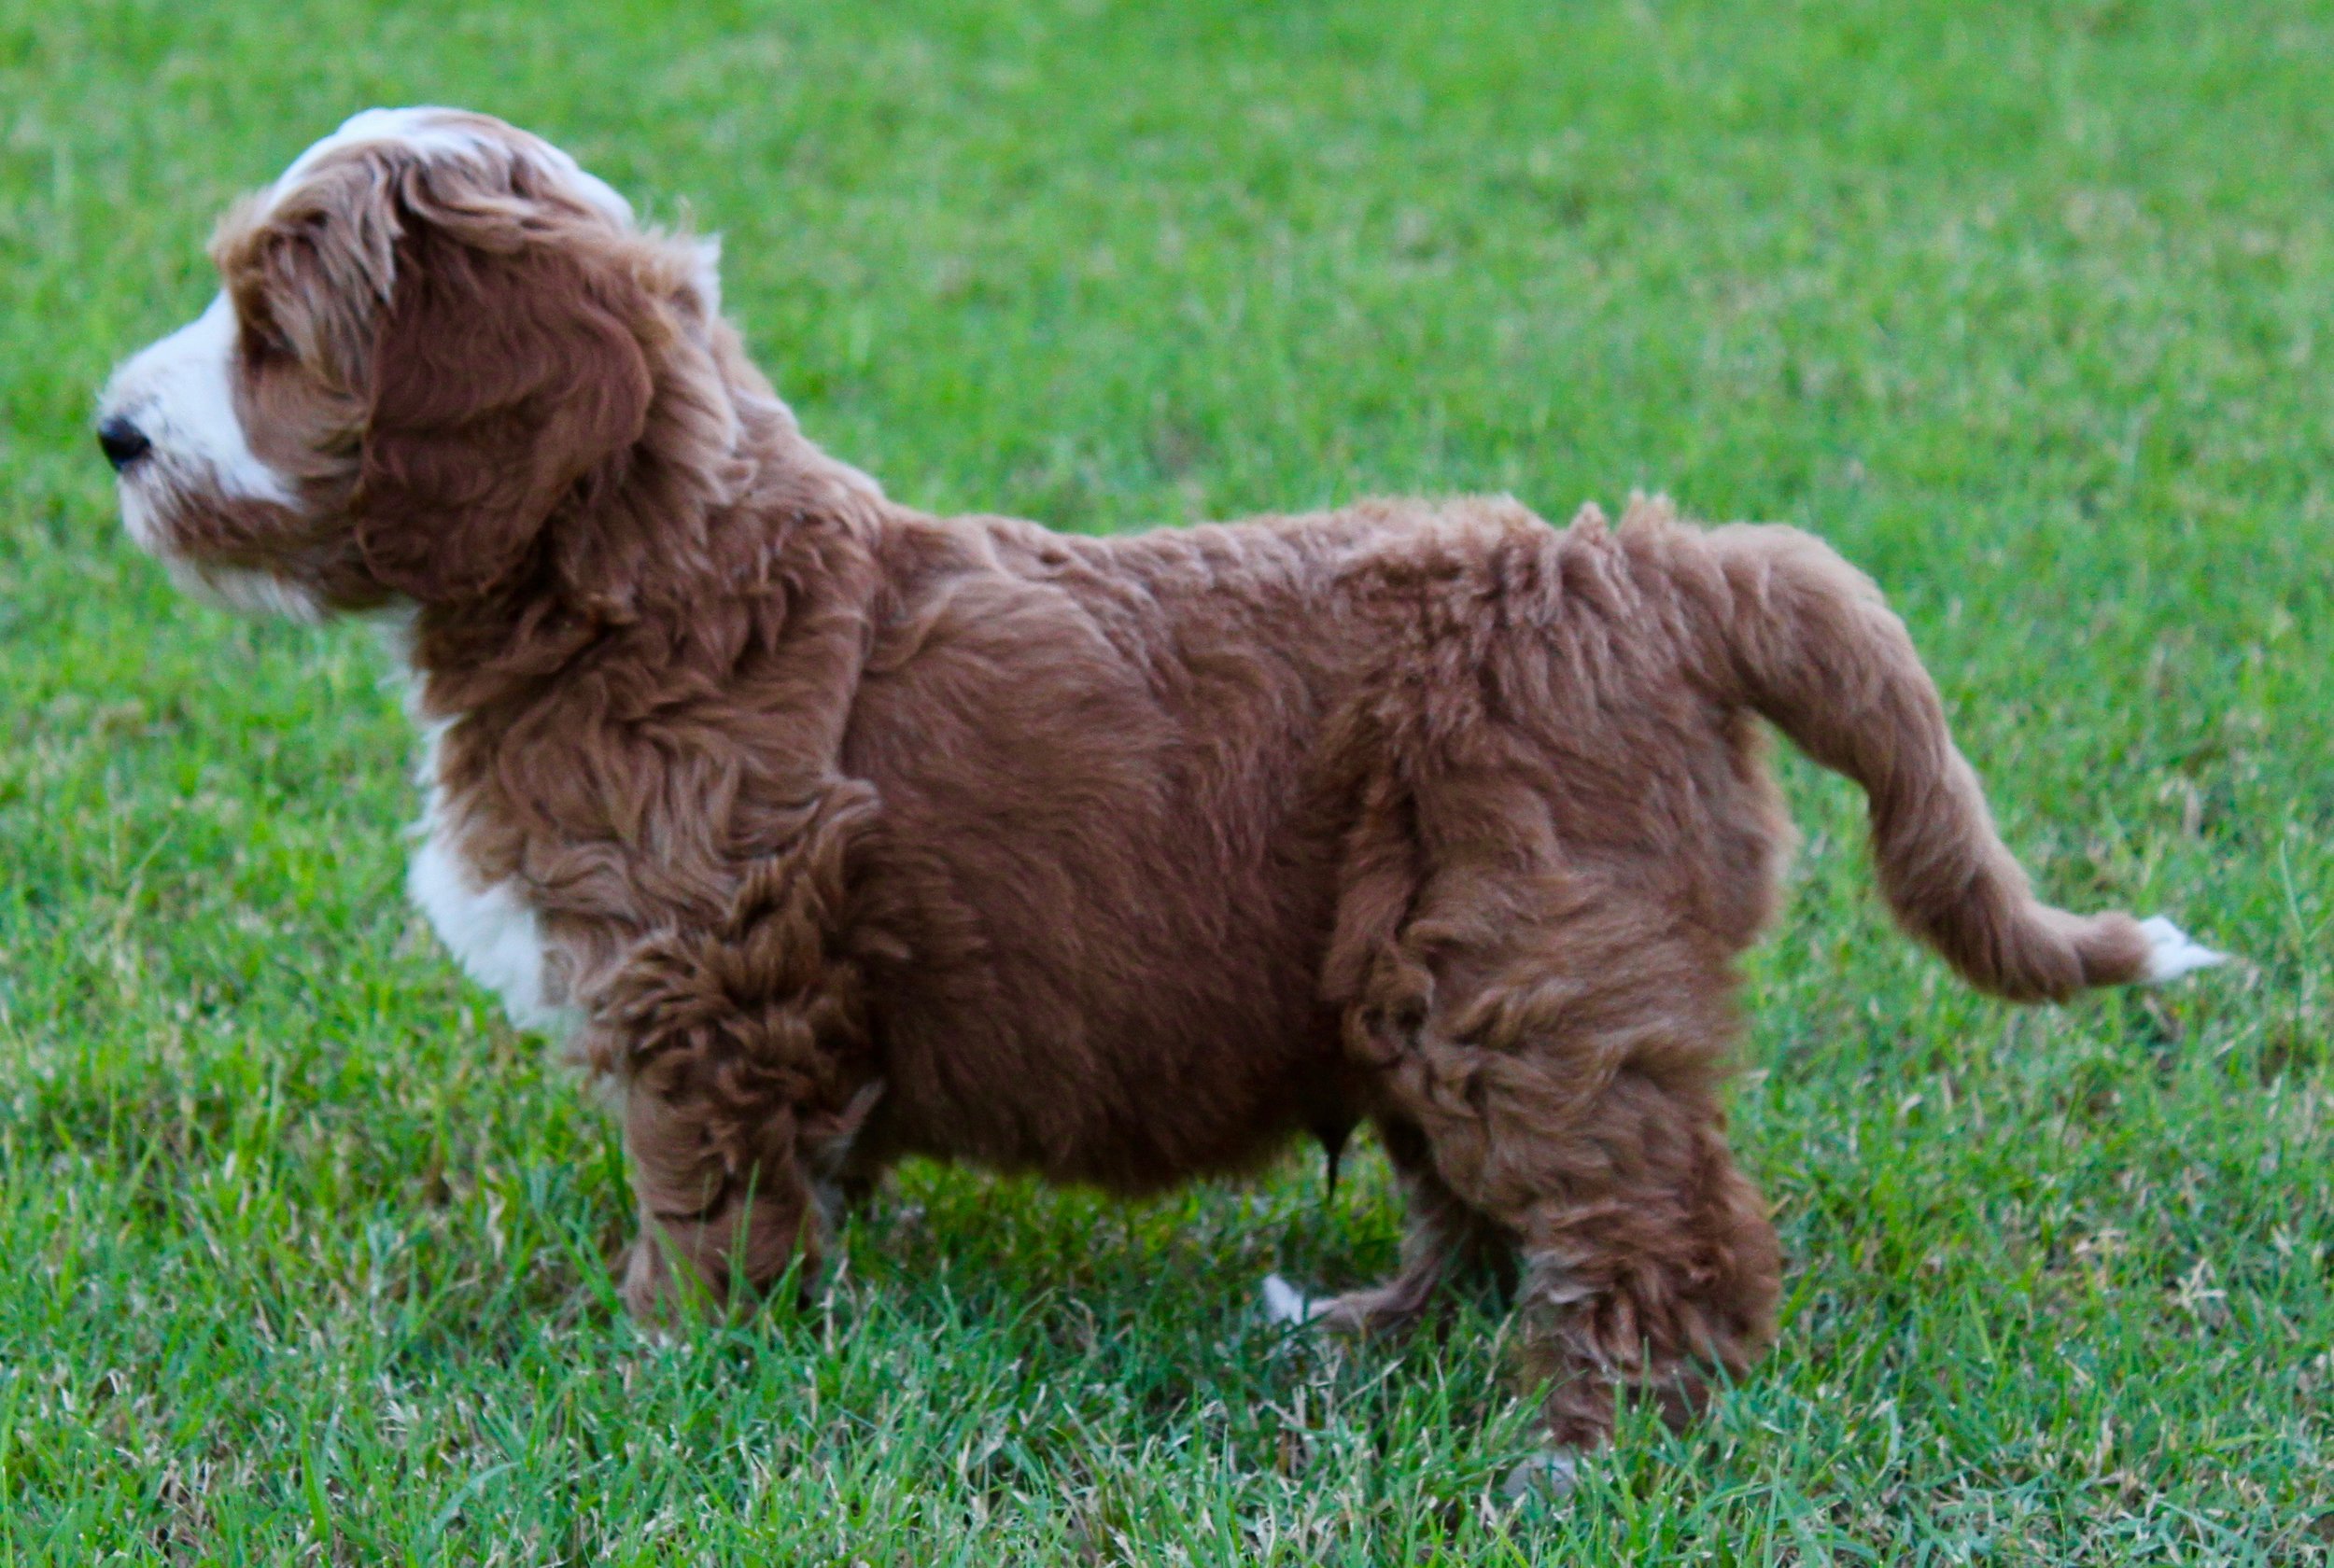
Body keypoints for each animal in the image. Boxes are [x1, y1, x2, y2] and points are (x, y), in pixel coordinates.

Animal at [105, 110, 2222, 1456]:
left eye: (272, 335)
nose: (109, 431)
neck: (643, 575)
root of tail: (1656, 565)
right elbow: (799, 1184)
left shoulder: (710, 978)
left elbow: (704, 1200)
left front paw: (656, 1366)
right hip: (1415, 964)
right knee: (1485, 1200)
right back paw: (1362, 1333)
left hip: (1520, 958)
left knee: (1655, 1220)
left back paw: (1581, 1438)